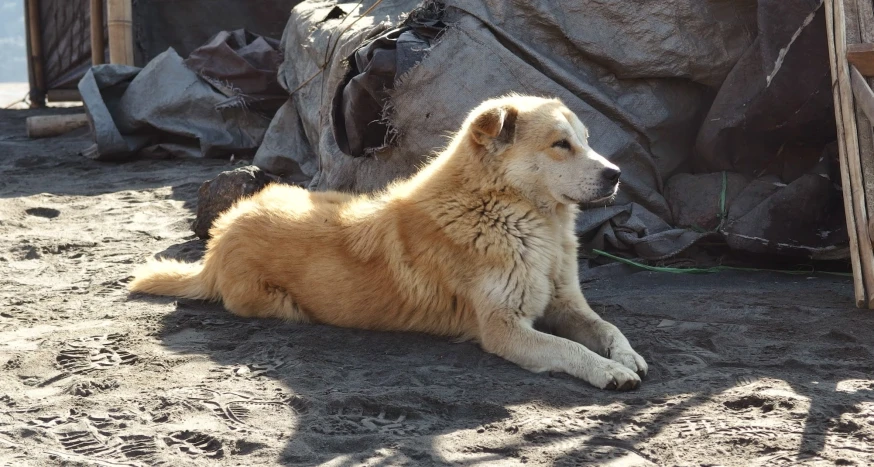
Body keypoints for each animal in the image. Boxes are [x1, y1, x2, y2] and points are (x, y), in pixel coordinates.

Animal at [129, 94, 648, 392]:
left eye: (586, 140)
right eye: (561, 144)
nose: (617, 174)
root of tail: (219, 239)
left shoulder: (565, 304)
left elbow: (608, 329)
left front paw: (626, 357)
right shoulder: (504, 329)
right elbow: (568, 350)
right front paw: (608, 372)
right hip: (278, 303)